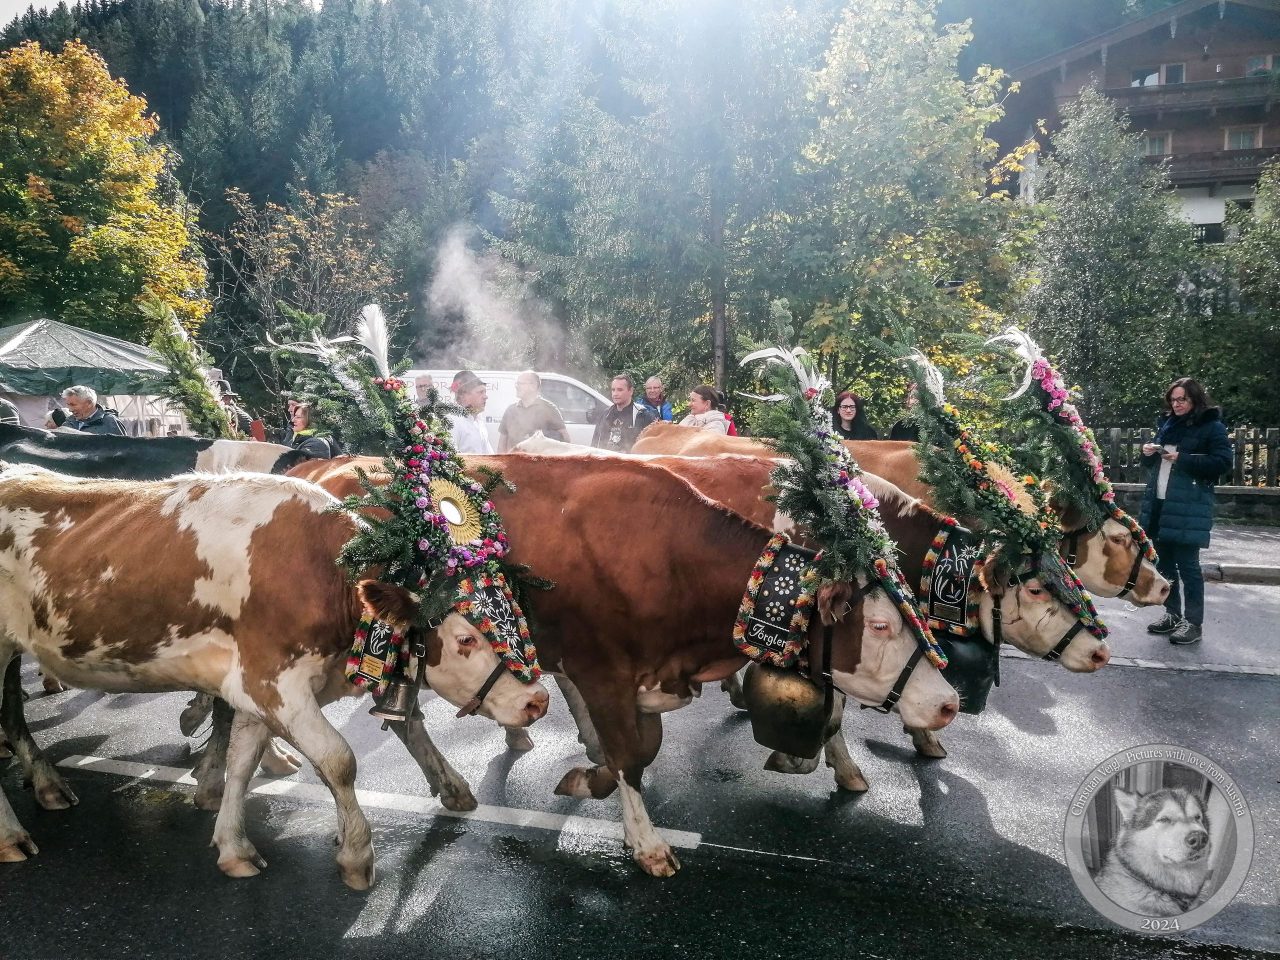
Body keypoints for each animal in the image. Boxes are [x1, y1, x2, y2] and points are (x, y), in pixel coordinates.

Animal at [0, 466, 549, 887]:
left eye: (518, 616)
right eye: (466, 640)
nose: (537, 702)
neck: (325, 574)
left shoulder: (253, 685)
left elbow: (242, 760)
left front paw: (234, 846)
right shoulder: (272, 683)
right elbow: (339, 761)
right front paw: (356, 856)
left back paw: (47, 785)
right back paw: (12, 834)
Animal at [292, 454, 960, 876]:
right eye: (880, 625)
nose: (950, 703)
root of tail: (330, 467)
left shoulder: (646, 676)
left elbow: (638, 750)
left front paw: (591, 779)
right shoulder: (602, 669)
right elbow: (630, 754)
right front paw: (646, 843)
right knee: (402, 718)